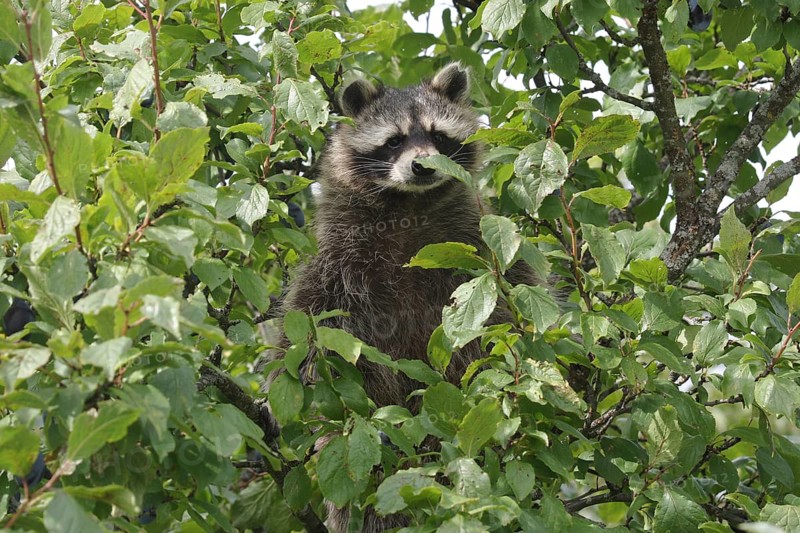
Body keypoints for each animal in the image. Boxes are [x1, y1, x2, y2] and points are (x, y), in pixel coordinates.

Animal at [269, 63, 537, 532]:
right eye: (394, 140)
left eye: (438, 136)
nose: (423, 165)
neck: (409, 204)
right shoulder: (340, 250)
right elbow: (310, 312)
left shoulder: (474, 236)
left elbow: (512, 289)